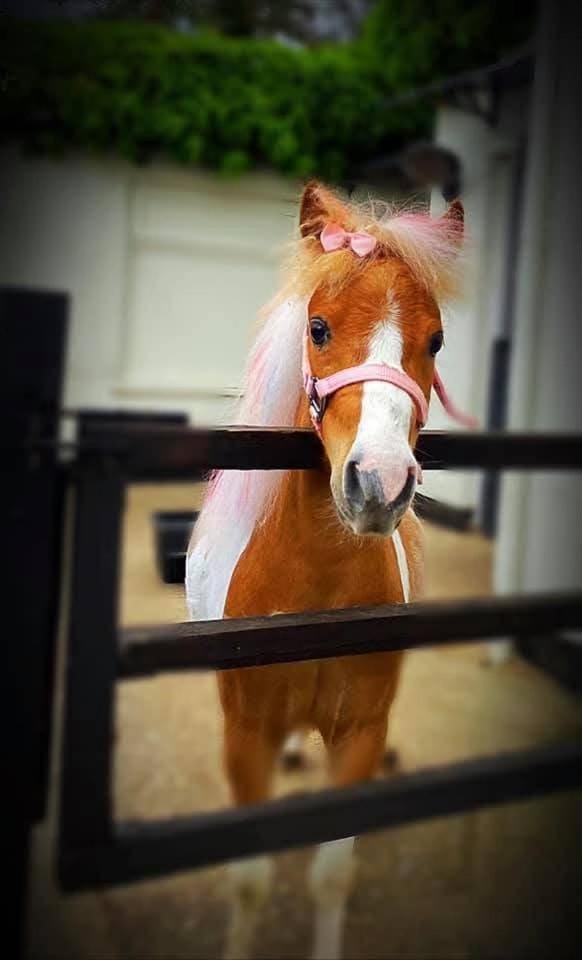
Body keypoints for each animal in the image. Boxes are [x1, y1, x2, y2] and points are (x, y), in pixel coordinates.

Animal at [186, 180, 466, 960]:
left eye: (435, 340)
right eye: (317, 328)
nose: (379, 483)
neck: (316, 590)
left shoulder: (359, 733)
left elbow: (331, 877)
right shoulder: (246, 737)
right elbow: (249, 882)